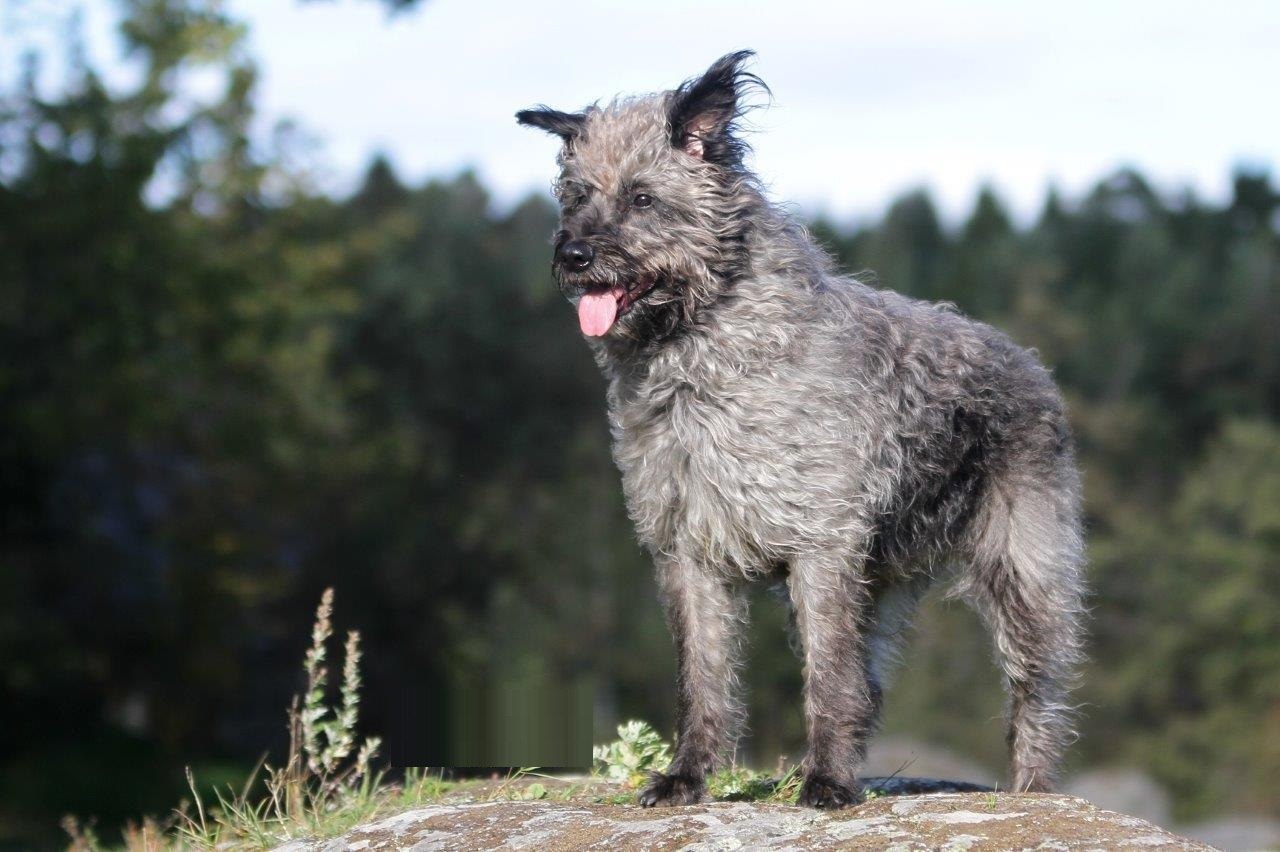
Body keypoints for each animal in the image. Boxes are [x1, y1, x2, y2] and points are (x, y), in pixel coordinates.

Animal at [514, 49, 1085, 808]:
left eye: (641, 198)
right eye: (576, 196)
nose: (574, 255)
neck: (706, 356)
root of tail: (1030, 364)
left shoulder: (822, 550)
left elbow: (826, 675)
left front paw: (827, 783)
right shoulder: (690, 555)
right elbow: (703, 680)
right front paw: (688, 776)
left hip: (1023, 579)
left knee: (1034, 694)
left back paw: (1034, 789)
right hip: (885, 587)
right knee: (870, 687)